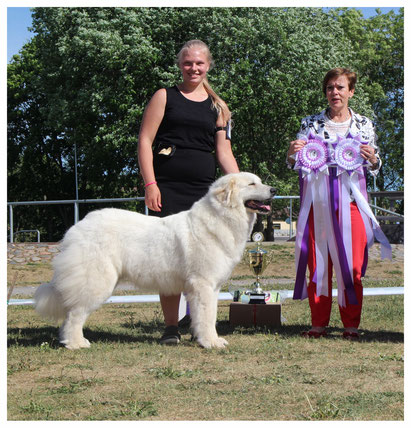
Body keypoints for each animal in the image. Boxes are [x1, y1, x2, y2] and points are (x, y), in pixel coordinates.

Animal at [33, 172, 276, 350]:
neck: (221, 217)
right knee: (74, 314)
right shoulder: (203, 284)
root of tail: (79, 225)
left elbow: (208, 315)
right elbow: (207, 317)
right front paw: (210, 342)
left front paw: (209, 339)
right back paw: (76, 343)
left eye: (260, 181)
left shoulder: (211, 287)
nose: (274, 190)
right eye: (252, 184)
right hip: (97, 281)